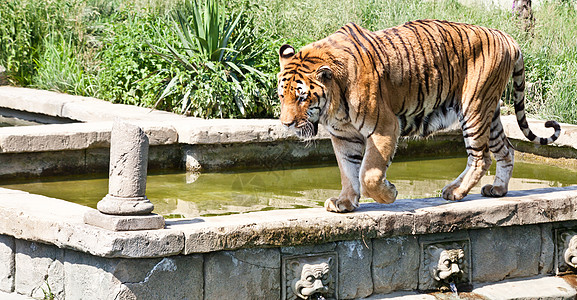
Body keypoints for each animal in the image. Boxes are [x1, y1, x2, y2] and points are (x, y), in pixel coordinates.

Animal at [276, 19, 560, 212]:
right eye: (282, 96)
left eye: (301, 97)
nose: (286, 124)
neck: (334, 106)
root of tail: (506, 36)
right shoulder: (343, 136)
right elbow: (348, 170)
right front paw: (344, 202)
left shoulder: (385, 127)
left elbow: (368, 174)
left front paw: (389, 194)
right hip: (490, 114)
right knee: (506, 150)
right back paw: (497, 189)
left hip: (474, 108)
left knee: (481, 158)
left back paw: (455, 192)